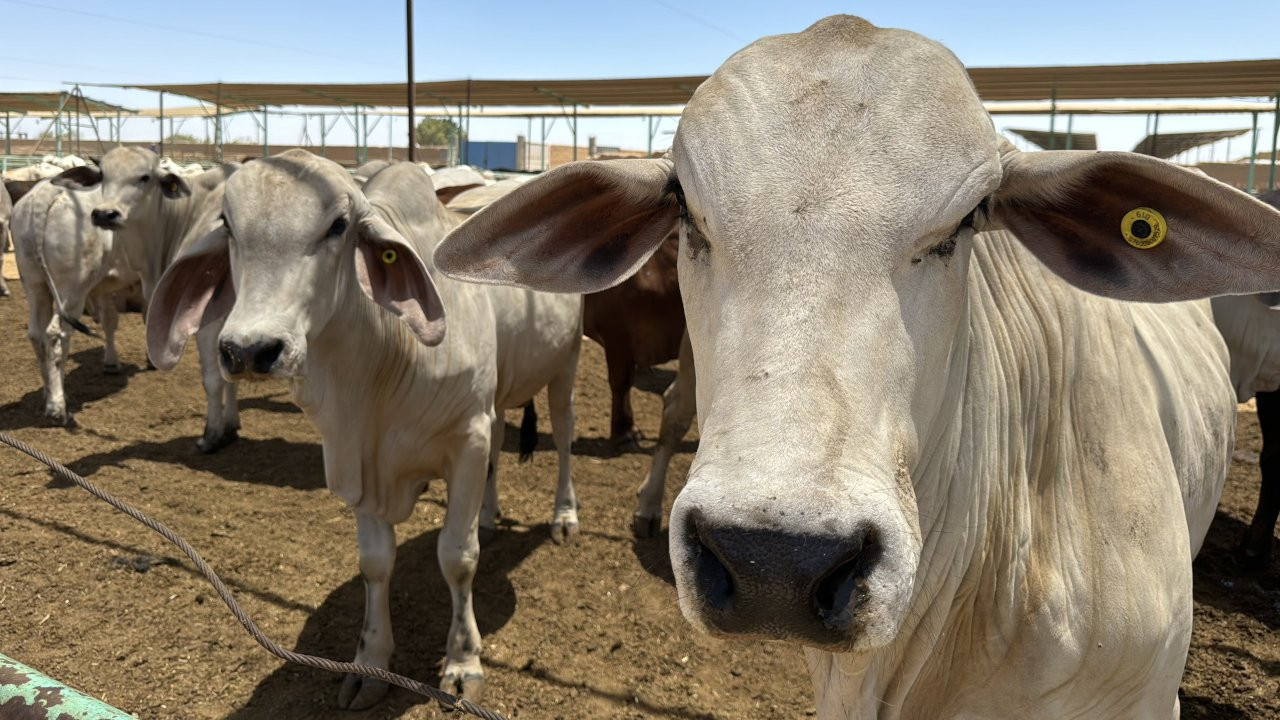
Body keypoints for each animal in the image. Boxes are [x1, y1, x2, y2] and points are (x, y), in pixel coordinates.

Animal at [10, 167, 136, 422]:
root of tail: (45, 192)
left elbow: (110, 320)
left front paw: (111, 362)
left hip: (35, 284)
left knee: (38, 335)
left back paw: (49, 391)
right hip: (72, 290)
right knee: (56, 334)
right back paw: (57, 405)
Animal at [53, 144, 241, 448]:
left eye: (144, 177)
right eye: (103, 175)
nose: (105, 214)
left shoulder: (208, 321)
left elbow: (214, 379)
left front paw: (212, 435)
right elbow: (230, 377)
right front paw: (231, 425)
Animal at [144, 152, 581, 707]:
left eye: (338, 226)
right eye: (228, 225)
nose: (248, 349)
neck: (381, 365)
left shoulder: (466, 439)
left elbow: (457, 557)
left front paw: (463, 662)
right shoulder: (357, 460)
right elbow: (375, 562)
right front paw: (371, 663)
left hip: (565, 365)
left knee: (564, 439)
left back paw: (564, 516)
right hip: (497, 399)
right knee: (501, 445)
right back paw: (487, 514)